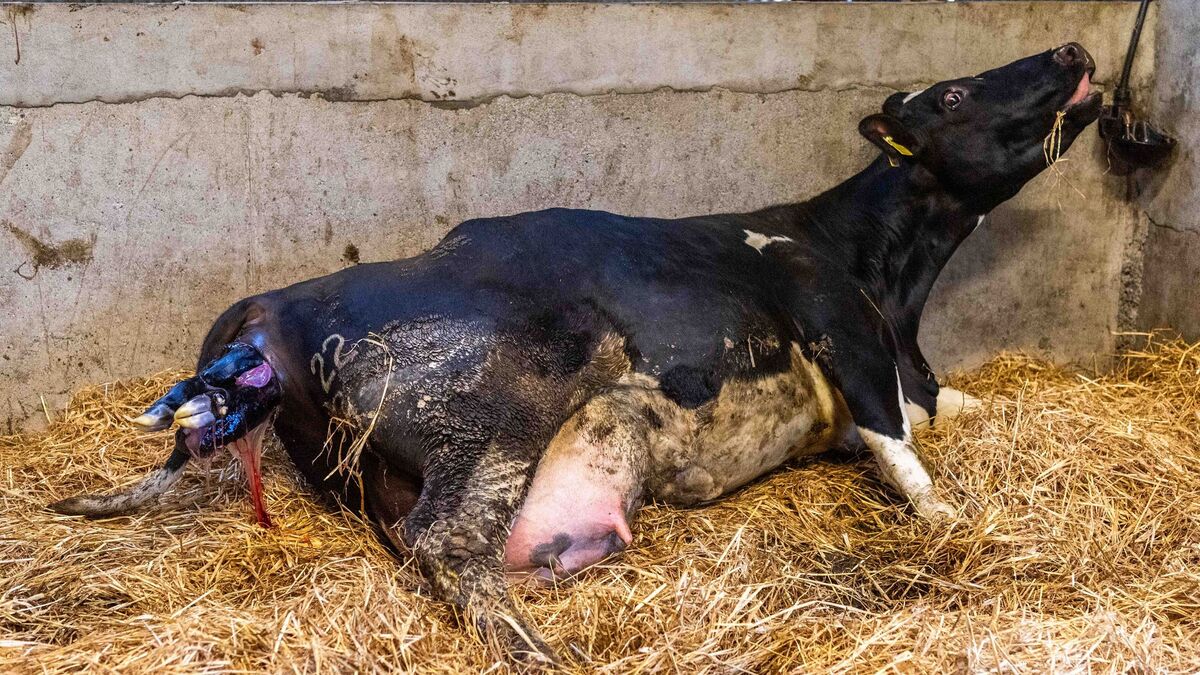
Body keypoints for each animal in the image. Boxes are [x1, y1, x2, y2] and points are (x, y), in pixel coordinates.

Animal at [51, 44, 1101, 665]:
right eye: (957, 92)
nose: (1073, 48)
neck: (878, 270)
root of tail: (278, 301)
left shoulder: (910, 372)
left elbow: (944, 409)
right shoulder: (837, 325)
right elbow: (899, 444)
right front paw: (955, 518)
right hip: (502, 400)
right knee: (446, 540)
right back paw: (537, 652)